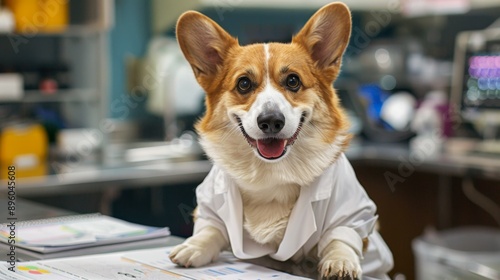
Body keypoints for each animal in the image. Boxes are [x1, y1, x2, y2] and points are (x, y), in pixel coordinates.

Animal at [170, 2, 392, 280]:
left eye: (293, 80)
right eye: (244, 83)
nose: (271, 121)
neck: (270, 172)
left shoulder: (354, 213)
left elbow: (341, 238)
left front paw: (340, 262)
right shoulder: (210, 205)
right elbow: (212, 228)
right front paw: (194, 246)